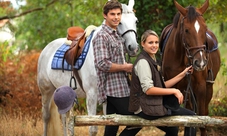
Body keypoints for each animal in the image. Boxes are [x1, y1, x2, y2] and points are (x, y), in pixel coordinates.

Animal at [36, 0, 138, 136]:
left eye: (135, 21)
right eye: (120, 22)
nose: (133, 47)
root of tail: (46, 49)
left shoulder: (106, 98)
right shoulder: (92, 95)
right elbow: (93, 128)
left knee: (64, 117)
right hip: (46, 91)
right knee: (46, 117)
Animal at [159, 0, 221, 135]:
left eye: (204, 28)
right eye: (186, 30)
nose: (200, 63)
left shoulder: (201, 87)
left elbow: (202, 120)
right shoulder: (172, 87)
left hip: (208, 89)